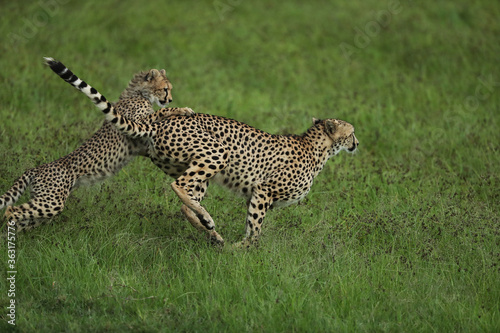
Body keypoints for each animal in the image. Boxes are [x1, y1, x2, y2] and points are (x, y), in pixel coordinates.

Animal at [0, 58, 192, 230]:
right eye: (165, 89)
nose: (170, 99)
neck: (139, 93)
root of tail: (35, 168)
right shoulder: (137, 122)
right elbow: (159, 113)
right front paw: (182, 109)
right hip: (51, 201)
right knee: (10, 210)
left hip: (43, 202)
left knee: (23, 216)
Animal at [71, 70, 360, 246]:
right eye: (352, 132)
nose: (357, 143)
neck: (318, 148)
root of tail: (156, 123)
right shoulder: (263, 191)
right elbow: (255, 228)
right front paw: (244, 250)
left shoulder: (257, 194)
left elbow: (252, 223)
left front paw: (236, 246)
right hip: (216, 153)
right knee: (179, 187)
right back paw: (210, 225)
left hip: (196, 167)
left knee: (186, 203)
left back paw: (211, 231)